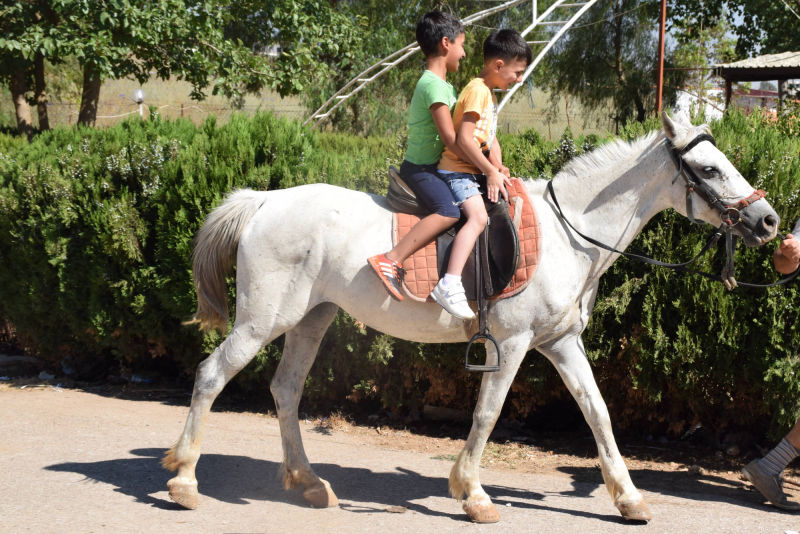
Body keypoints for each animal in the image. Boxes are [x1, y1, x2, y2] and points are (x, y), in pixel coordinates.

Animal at [162, 113, 779, 523]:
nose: (770, 221)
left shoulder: (561, 343)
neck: (569, 233)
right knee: (212, 376)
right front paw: (473, 493)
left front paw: (628, 498)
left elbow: (598, 412)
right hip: (262, 321)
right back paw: (186, 479)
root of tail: (265, 200)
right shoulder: (513, 342)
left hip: (311, 319)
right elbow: (487, 414)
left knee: (286, 390)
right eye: (708, 169)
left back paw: (308, 482)